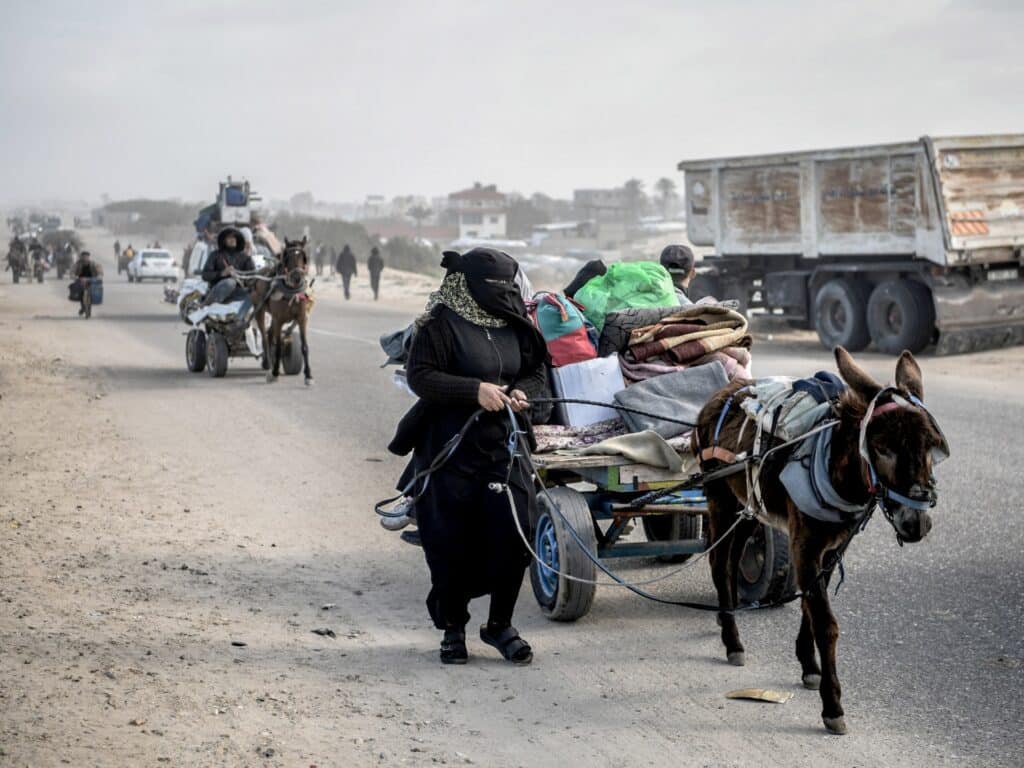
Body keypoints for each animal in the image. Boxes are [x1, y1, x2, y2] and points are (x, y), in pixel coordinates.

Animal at [251, 237, 311, 385]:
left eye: (303, 256)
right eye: (288, 257)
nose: (297, 277)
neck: (291, 292)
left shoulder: (302, 319)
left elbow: (304, 346)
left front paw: (308, 376)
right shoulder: (279, 320)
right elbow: (278, 347)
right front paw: (275, 373)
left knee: (269, 335)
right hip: (260, 310)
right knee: (265, 337)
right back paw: (268, 364)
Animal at [692, 348, 946, 733]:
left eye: (931, 447)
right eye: (882, 448)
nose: (916, 524)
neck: (836, 468)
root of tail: (723, 391)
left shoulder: (833, 547)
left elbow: (810, 605)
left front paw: (809, 667)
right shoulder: (804, 546)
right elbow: (825, 621)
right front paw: (833, 706)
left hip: (749, 506)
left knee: (732, 558)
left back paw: (727, 615)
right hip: (719, 497)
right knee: (719, 563)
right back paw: (733, 643)